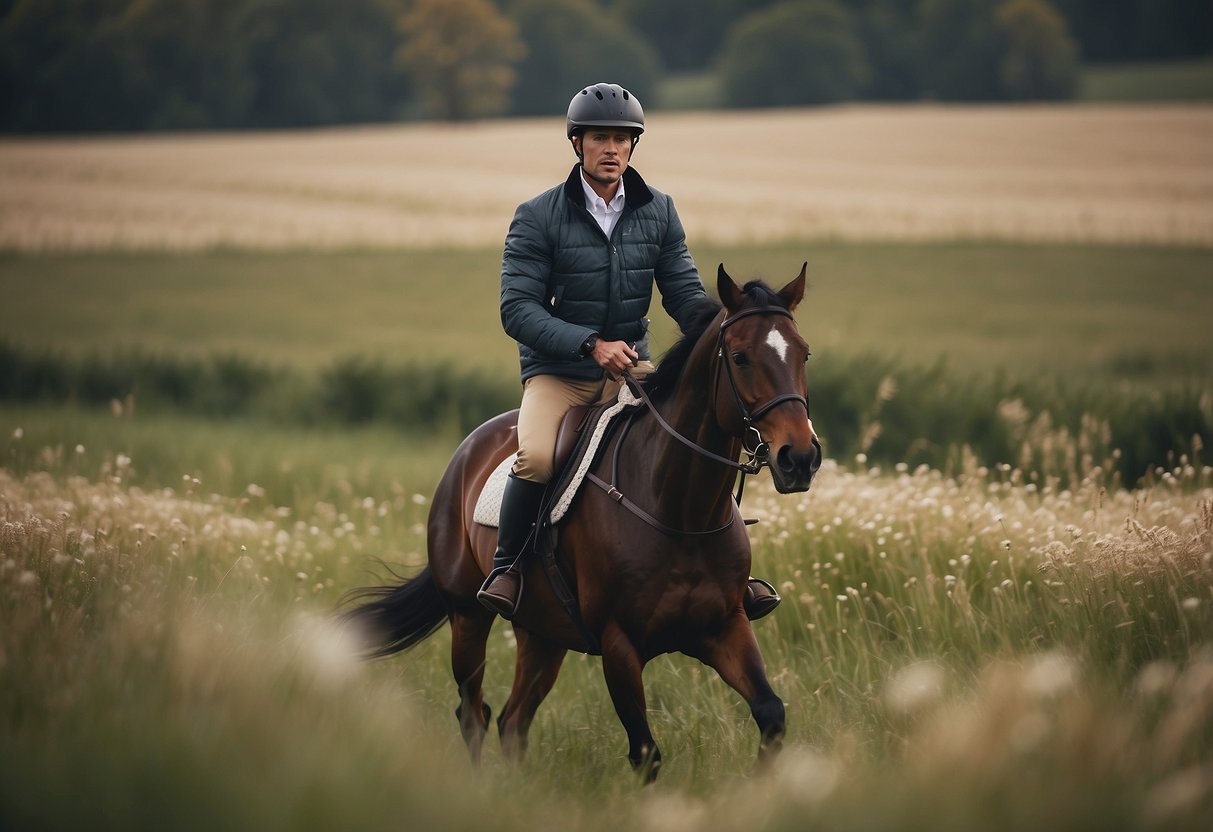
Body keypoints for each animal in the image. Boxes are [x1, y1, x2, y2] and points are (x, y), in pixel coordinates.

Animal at [342, 265, 824, 781]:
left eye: (803, 352)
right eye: (739, 357)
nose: (799, 458)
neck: (680, 513)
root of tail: (466, 452)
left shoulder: (725, 628)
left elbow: (771, 714)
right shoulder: (619, 644)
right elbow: (646, 752)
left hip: (542, 634)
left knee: (514, 720)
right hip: (468, 617)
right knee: (474, 713)